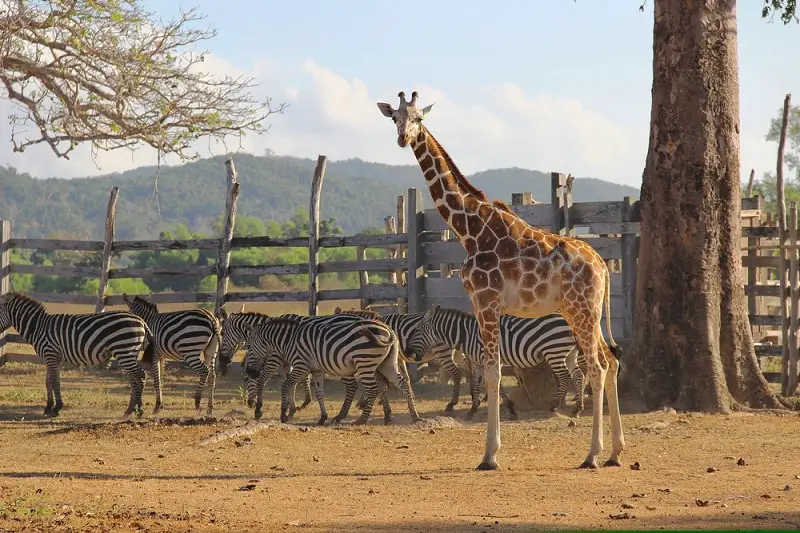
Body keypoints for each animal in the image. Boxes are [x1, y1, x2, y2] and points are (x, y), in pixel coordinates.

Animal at [0, 294, 154, 418]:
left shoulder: (51, 354)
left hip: (124, 350)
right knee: (134, 378)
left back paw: (138, 409)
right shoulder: (50, 358)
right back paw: (131, 409)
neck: (37, 327)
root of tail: (141, 321)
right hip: (129, 352)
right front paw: (48, 407)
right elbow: (48, 382)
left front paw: (57, 408)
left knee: (141, 375)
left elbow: (55, 382)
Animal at [244, 316, 422, 424]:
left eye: (250, 347)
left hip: (364, 361)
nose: (250, 372)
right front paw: (322, 418)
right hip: (386, 363)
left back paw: (362, 419)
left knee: (372, 389)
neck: (289, 340)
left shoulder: (301, 365)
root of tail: (389, 330)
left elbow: (286, 385)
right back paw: (414, 416)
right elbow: (319, 393)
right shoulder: (316, 370)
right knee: (402, 384)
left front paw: (283, 414)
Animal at [410, 306, 584, 418]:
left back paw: (554, 405)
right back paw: (577, 408)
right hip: (569, 353)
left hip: (554, 350)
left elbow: (492, 383)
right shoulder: (479, 363)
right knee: (578, 375)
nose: (411, 354)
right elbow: (482, 383)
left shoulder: (489, 360)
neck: (468, 334)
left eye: (417, 330)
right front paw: (475, 408)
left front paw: (506, 408)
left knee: (565, 376)